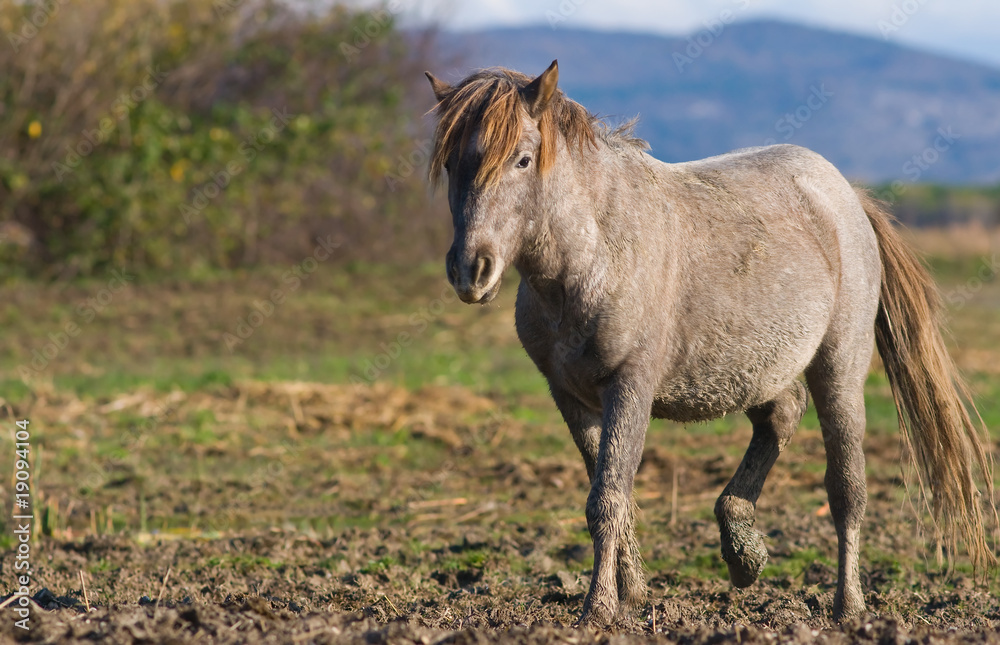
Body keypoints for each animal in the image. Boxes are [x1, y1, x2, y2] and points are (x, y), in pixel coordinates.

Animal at [424, 60, 995, 626]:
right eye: (451, 163)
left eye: (522, 160)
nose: (470, 271)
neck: (592, 256)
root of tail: (847, 198)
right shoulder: (569, 397)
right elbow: (611, 495)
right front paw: (634, 593)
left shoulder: (629, 388)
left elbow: (608, 498)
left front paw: (599, 608)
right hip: (760, 368)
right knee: (780, 419)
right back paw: (743, 550)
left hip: (839, 370)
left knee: (846, 488)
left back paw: (847, 605)